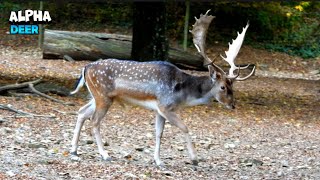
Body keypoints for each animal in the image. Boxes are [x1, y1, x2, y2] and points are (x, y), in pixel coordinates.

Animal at [70, 10, 255, 167]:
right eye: (223, 87)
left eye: (233, 86)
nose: (232, 104)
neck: (184, 95)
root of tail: (85, 67)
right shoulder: (166, 106)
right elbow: (184, 127)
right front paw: (194, 159)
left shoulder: (159, 110)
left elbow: (159, 133)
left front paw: (158, 161)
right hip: (102, 96)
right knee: (94, 121)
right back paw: (105, 154)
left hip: (97, 96)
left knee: (82, 112)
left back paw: (74, 152)